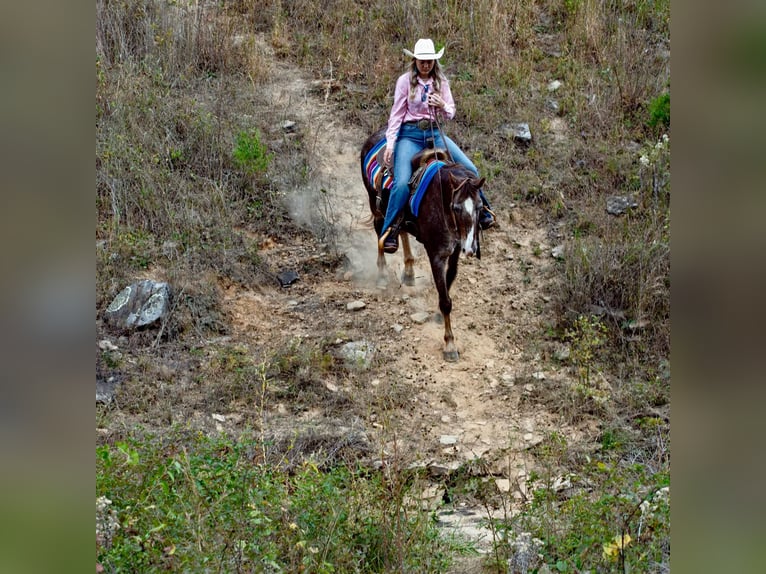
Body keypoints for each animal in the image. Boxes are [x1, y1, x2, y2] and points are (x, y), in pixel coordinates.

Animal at [362, 128, 486, 362]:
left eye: (480, 206)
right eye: (456, 207)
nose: (471, 249)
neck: (441, 201)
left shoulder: (454, 249)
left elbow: (450, 279)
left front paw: (438, 314)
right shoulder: (435, 254)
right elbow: (445, 300)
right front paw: (450, 345)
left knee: (400, 228)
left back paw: (409, 272)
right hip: (375, 204)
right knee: (380, 231)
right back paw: (382, 274)